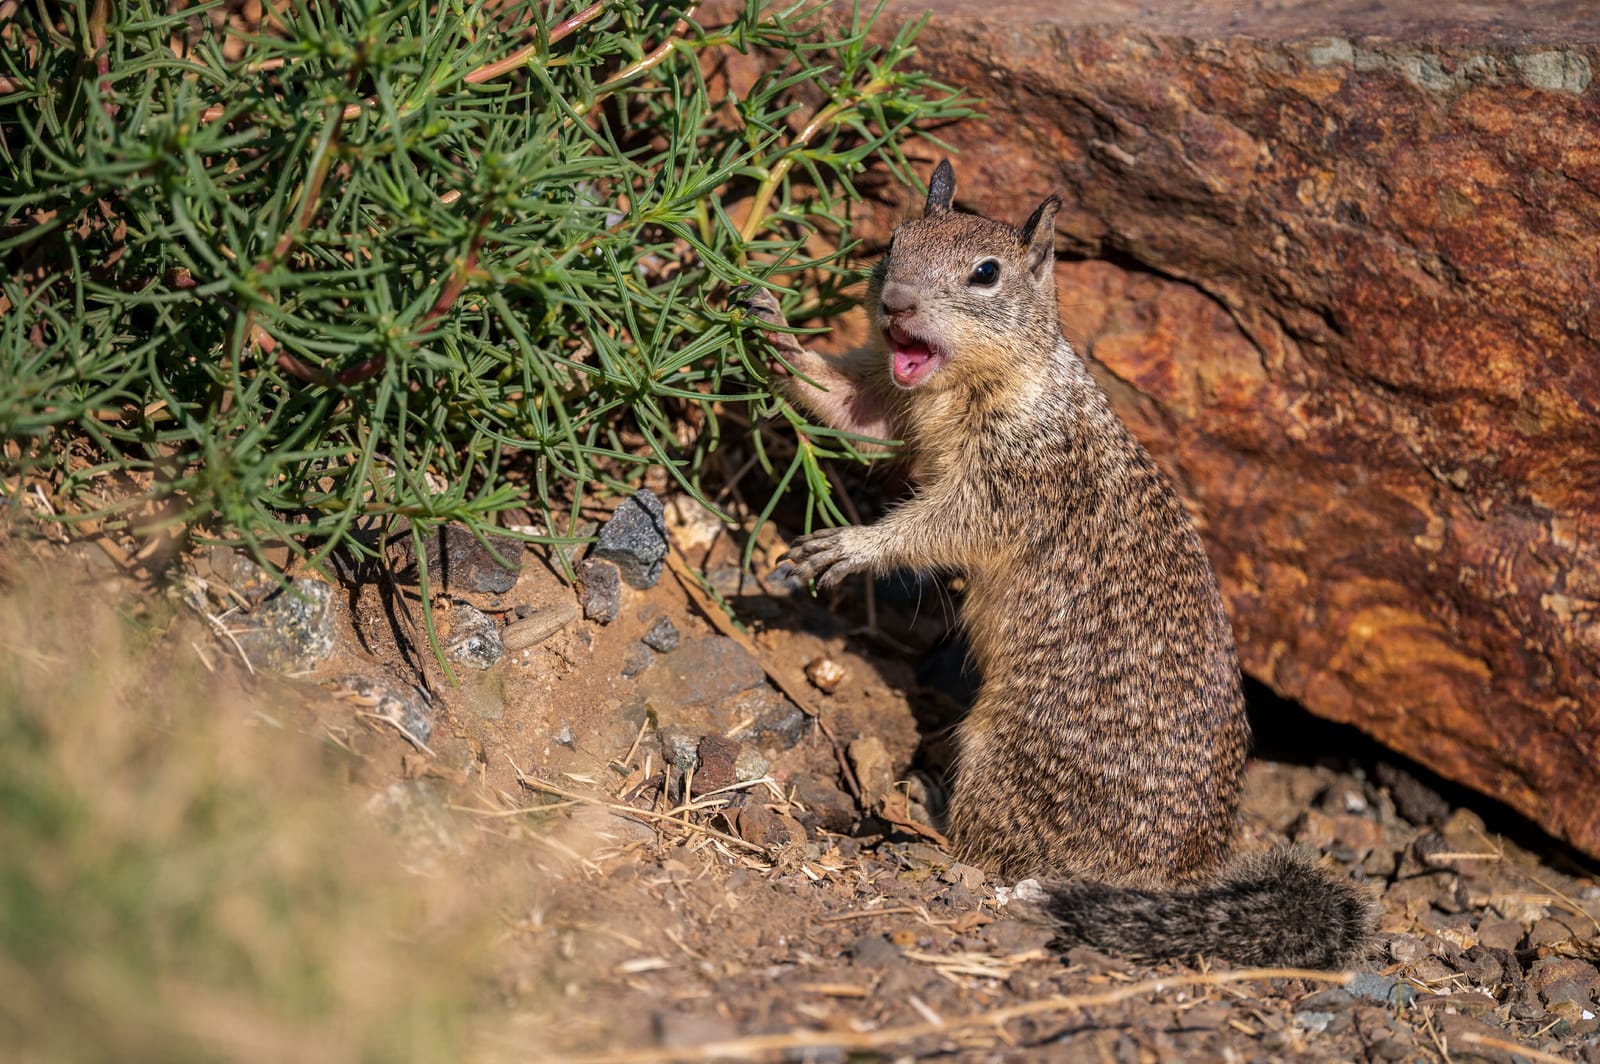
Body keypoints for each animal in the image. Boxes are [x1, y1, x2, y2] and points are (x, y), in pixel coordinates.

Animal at [743, 161, 1379, 969]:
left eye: (986, 273)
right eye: (893, 242)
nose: (895, 303)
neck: (973, 384)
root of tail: (1183, 876)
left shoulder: (1016, 481)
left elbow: (943, 527)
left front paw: (852, 546)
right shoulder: (891, 396)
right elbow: (846, 404)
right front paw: (769, 324)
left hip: (1002, 755)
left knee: (996, 850)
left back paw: (932, 826)